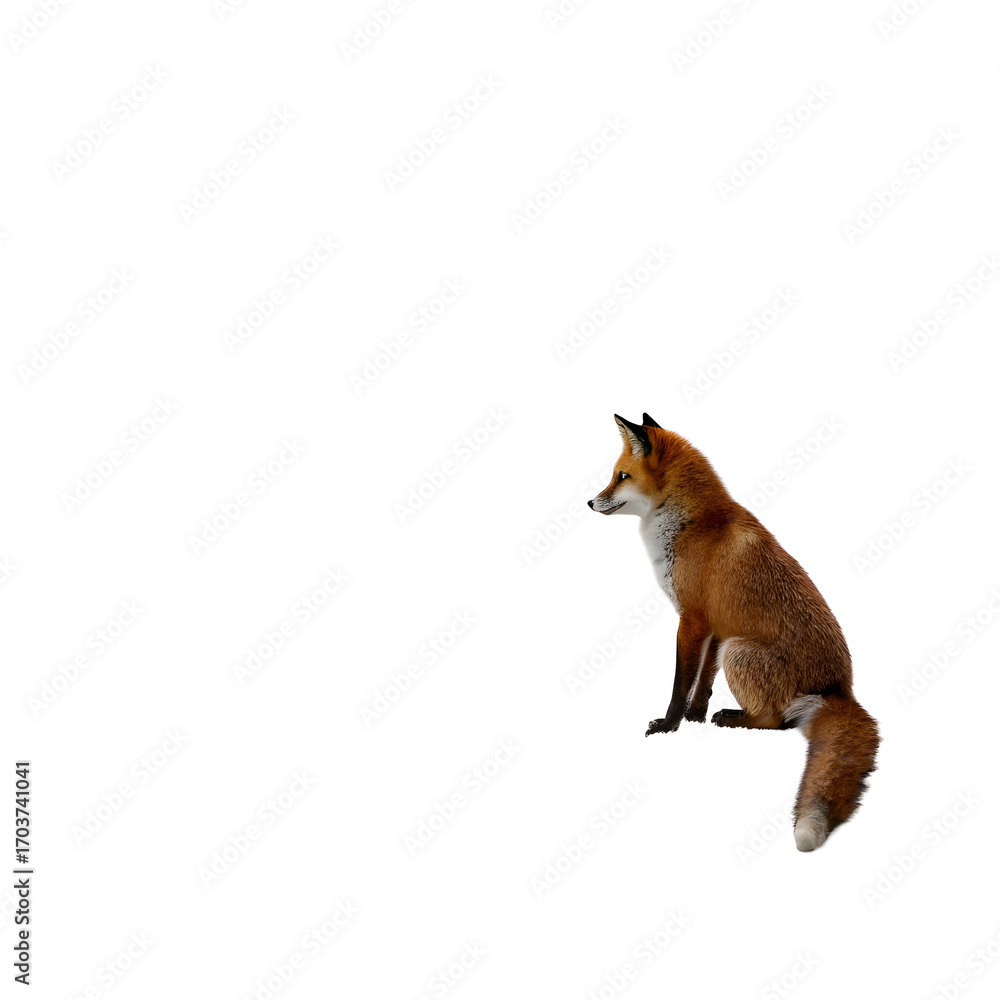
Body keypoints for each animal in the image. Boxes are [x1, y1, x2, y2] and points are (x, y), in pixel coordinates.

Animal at [589, 414, 880, 851]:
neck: (687, 523)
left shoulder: (691, 620)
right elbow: (703, 680)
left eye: (621, 476)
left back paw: (734, 718)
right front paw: (693, 716)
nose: (590, 502)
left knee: (777, 721)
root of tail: (839, 690)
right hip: (733, 646)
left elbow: (681, 681)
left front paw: (669, 725)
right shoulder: (715, 627)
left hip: (739, 652)